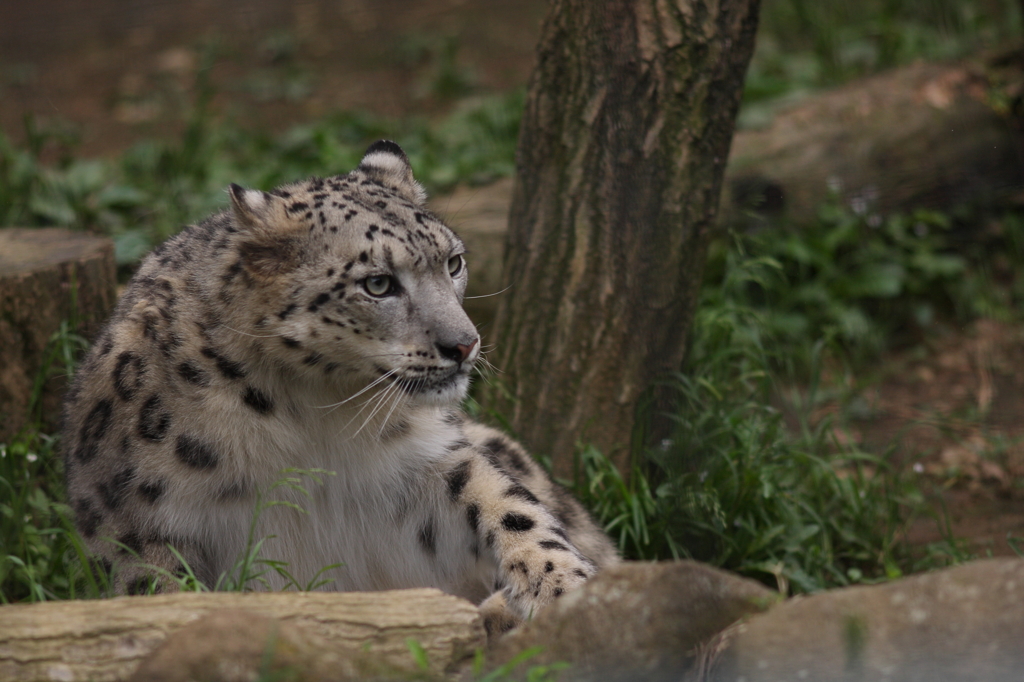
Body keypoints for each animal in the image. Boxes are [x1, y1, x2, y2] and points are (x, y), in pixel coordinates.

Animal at [66, 140, 622, 634]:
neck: (316, 411)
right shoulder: (141, 522)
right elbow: (158, 591)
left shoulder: (423, 461)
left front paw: (562, 585)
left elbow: (505, 503)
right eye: (377, 284)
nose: (464, 344)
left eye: (453, 262)